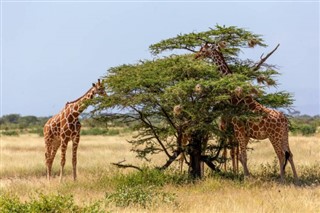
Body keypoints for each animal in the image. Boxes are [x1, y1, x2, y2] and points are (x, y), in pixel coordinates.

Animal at [195, 41, 300, 181]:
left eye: (203, 50)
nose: (196, 56)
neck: (236, 99)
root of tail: (284, 120)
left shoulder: (239, 129)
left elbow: (243, 156)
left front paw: (246, 177)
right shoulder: (245, 133)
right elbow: (241, 156)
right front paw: (247, 175)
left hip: (274, 135)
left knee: (281, 154)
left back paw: (282, 179)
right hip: (284, 134)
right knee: (290, 154)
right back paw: (296, 178)